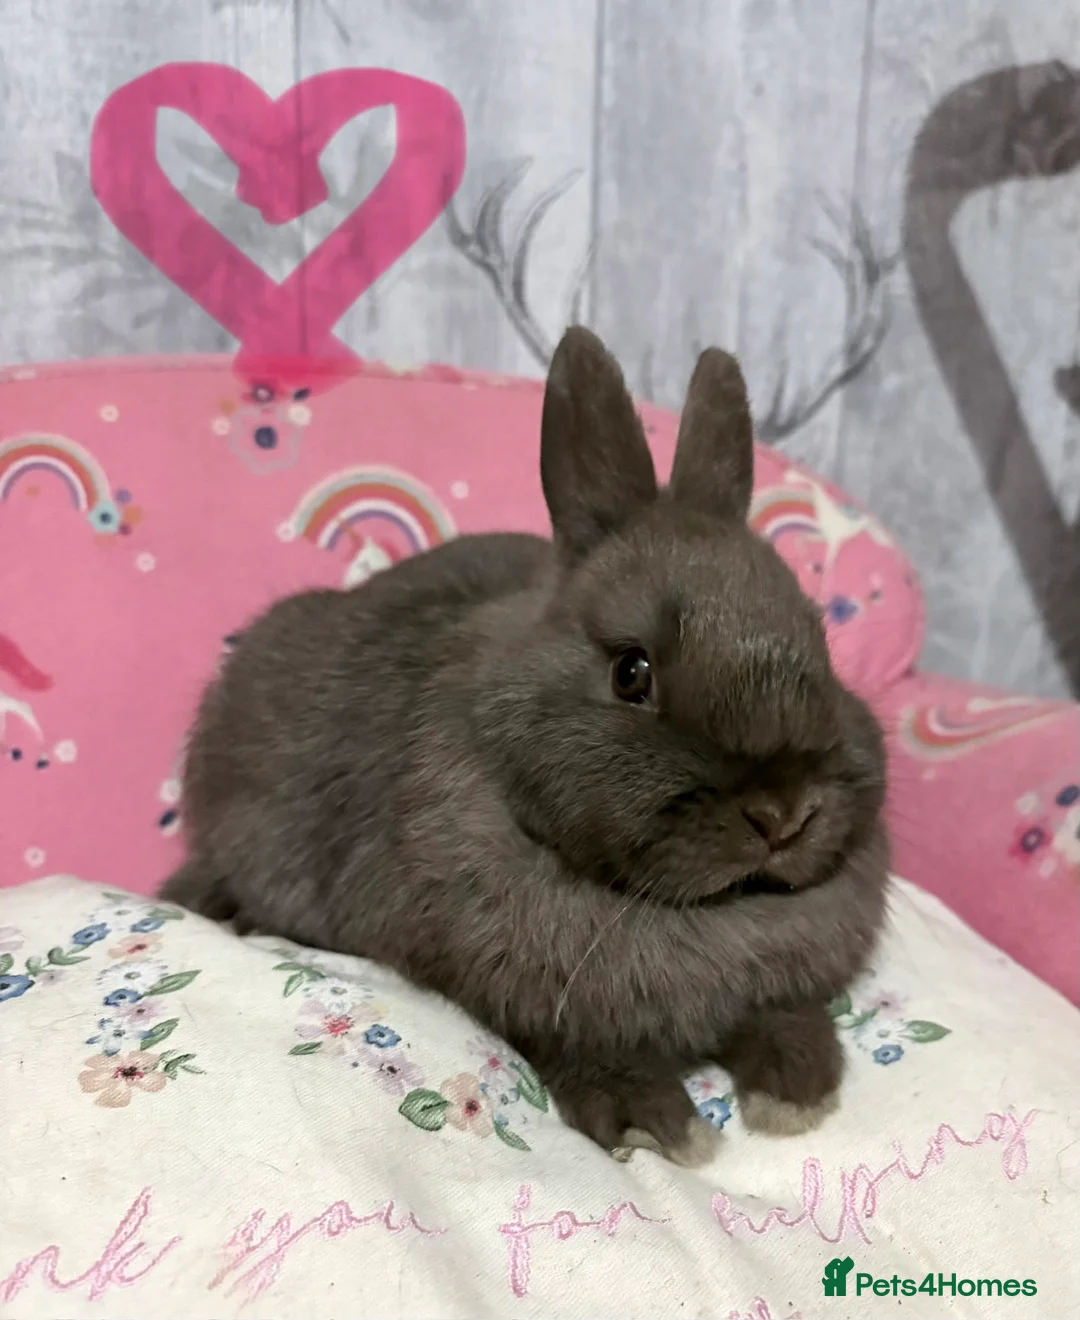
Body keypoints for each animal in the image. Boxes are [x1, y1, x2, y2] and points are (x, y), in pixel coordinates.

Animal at [163, 326, 889, 1165]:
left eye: (821, 644)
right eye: (631, 672)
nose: (782, 815)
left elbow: (785, 1016)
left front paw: (800, 1089)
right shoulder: (512, 989)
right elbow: (578, 1047)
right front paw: (652, 1121)